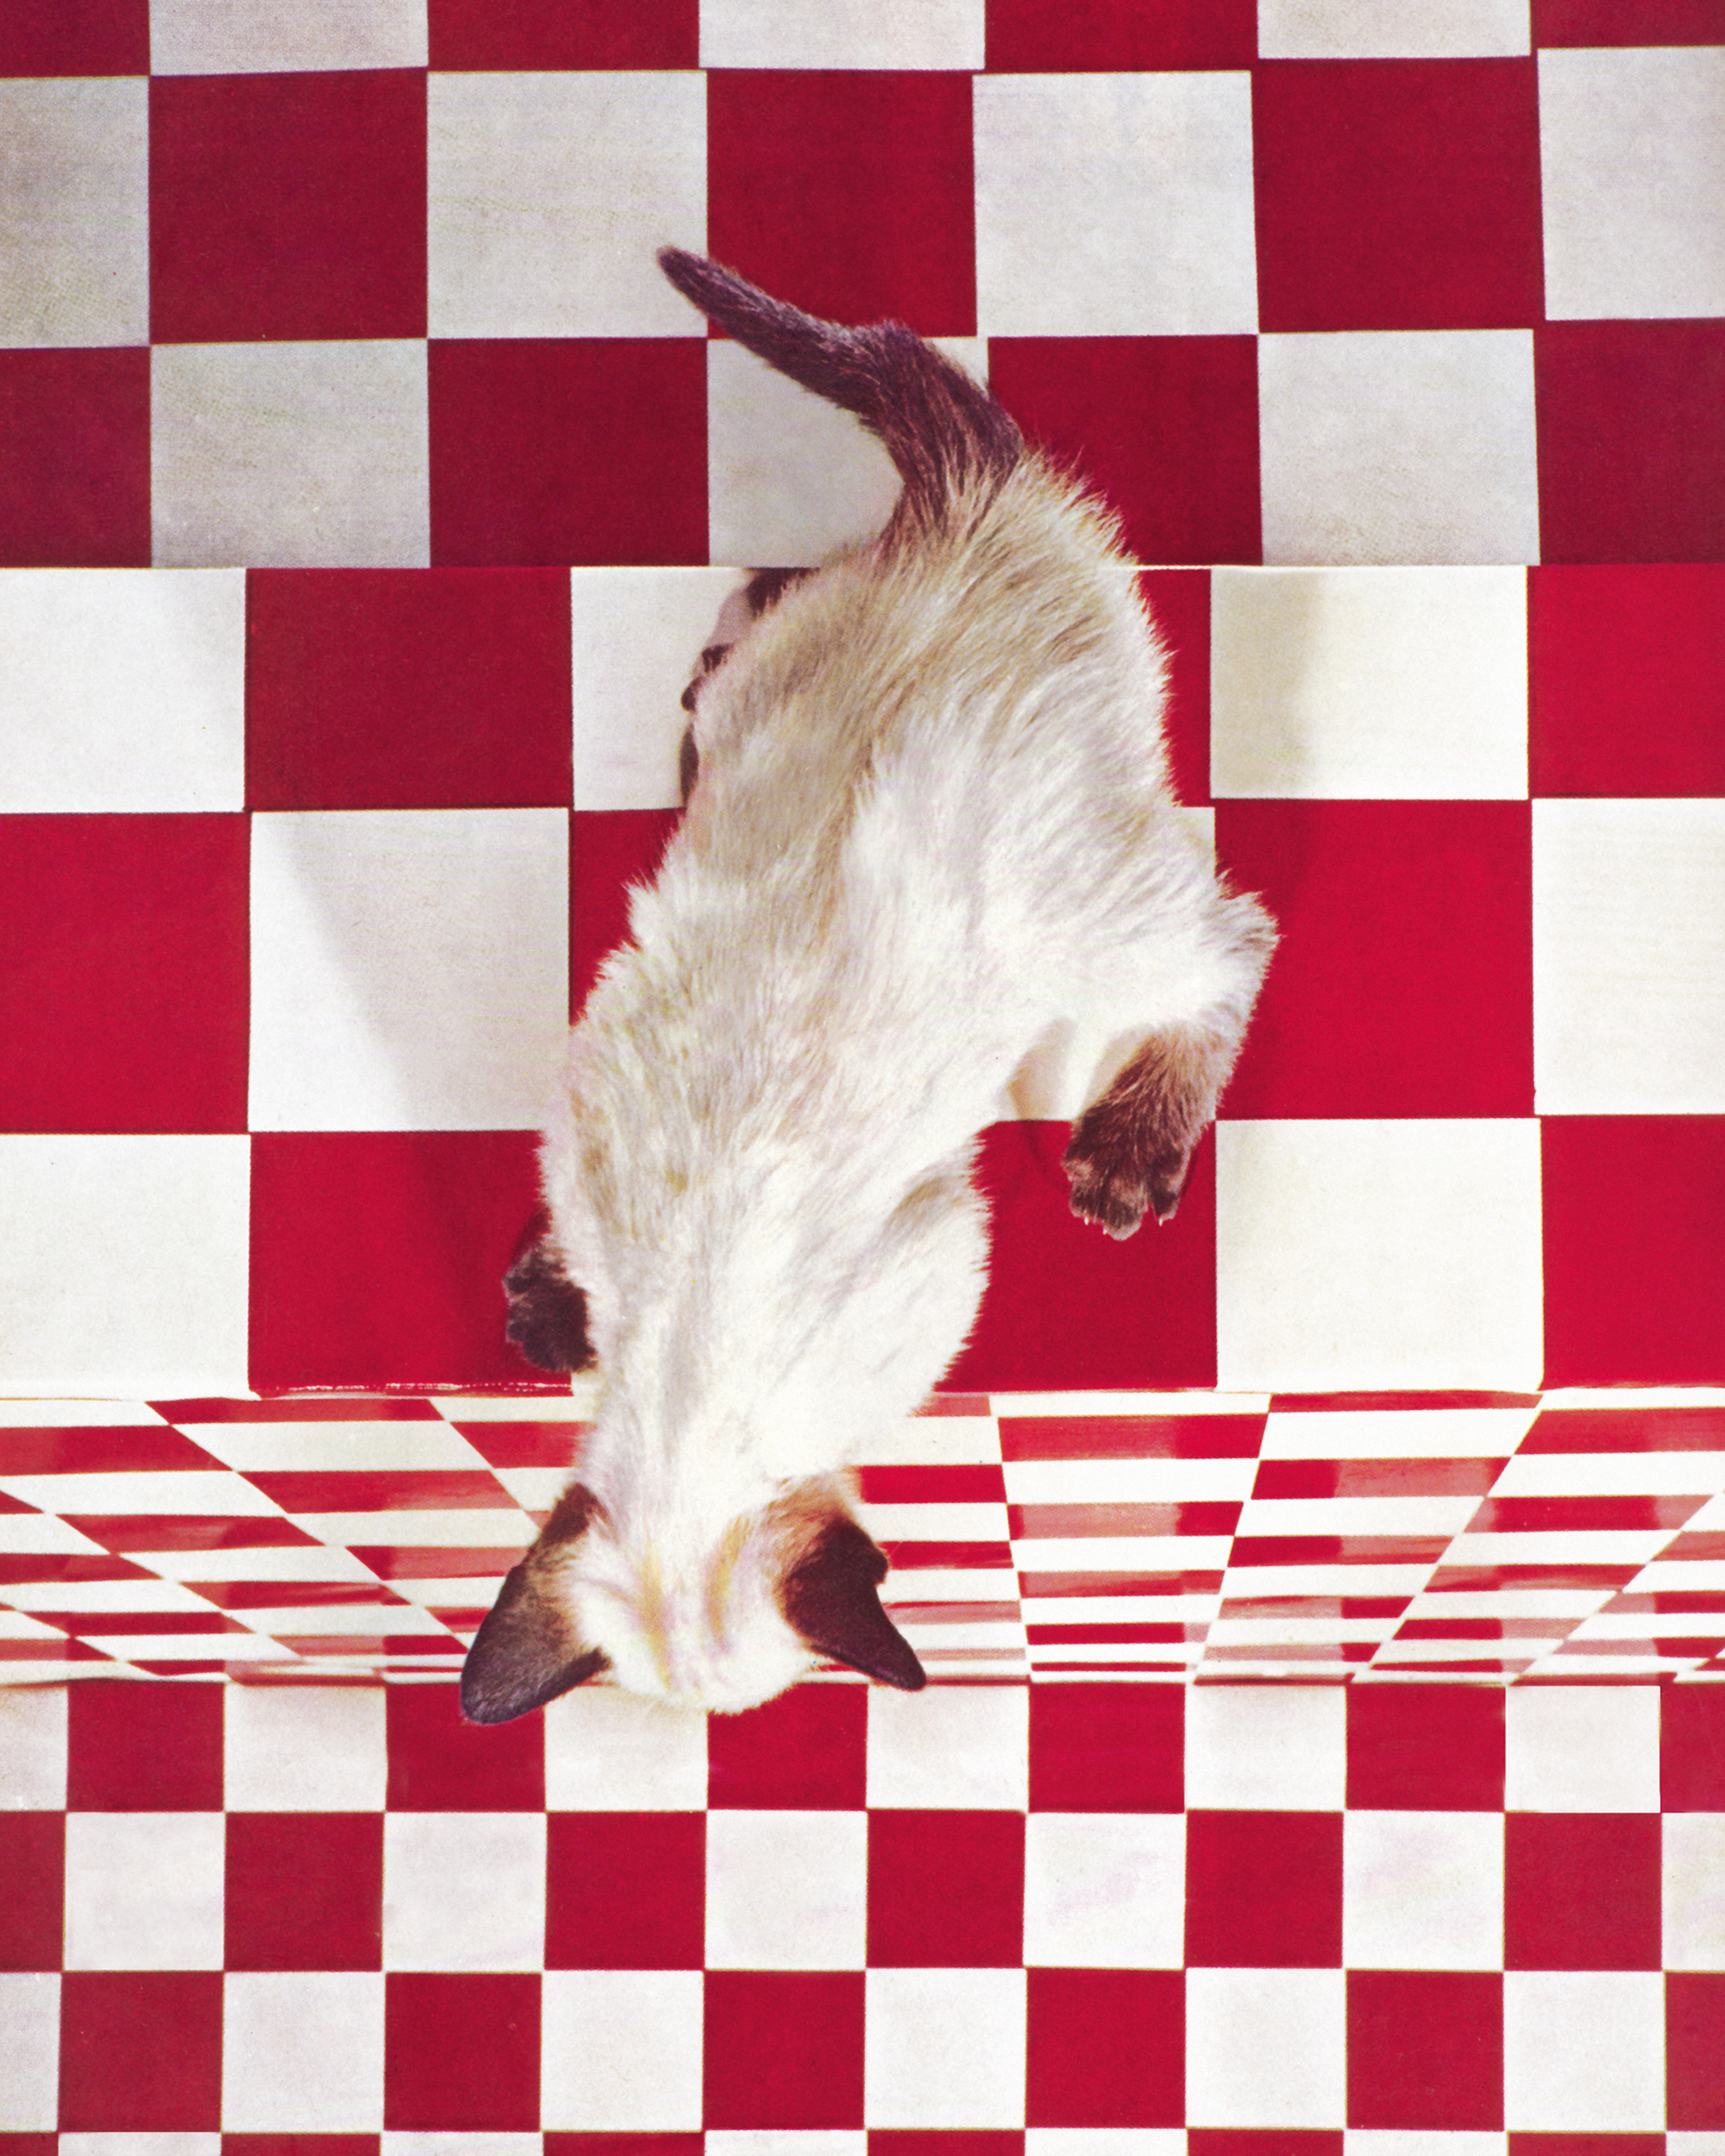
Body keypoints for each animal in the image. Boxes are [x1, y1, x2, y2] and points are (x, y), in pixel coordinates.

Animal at [455, 252, 1268, 1725]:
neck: (683, 1352)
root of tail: (972, 500)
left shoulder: (941, 1271)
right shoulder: (589, 1115)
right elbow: (564, 1248)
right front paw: (546, 1305)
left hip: (1092, 917)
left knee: (1233, 939)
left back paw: (1131, 1146)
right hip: (810, 702)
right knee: (772, 602)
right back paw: (712, 659)